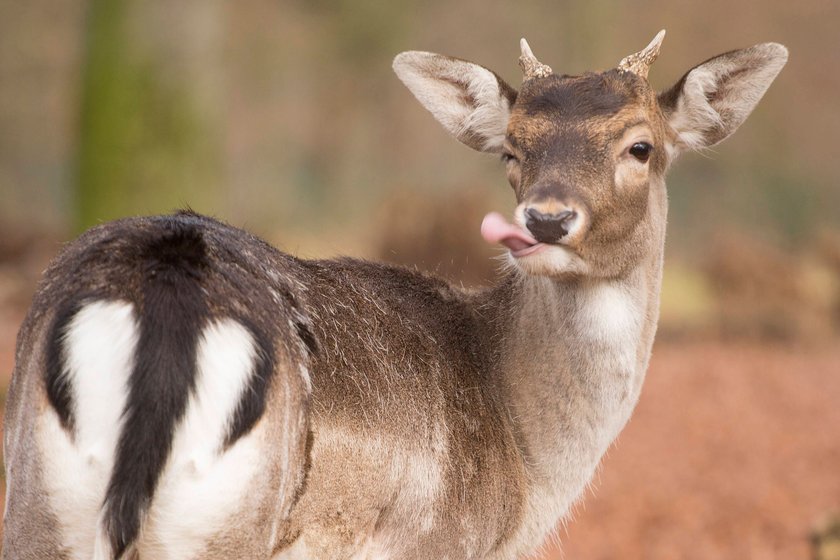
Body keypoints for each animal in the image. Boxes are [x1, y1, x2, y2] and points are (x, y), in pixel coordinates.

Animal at [1, 31, 788, 560]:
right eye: (512, 148)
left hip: (36, 500)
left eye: (641, 147)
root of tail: (167, 297)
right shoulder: (435, 543)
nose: (545, 219)